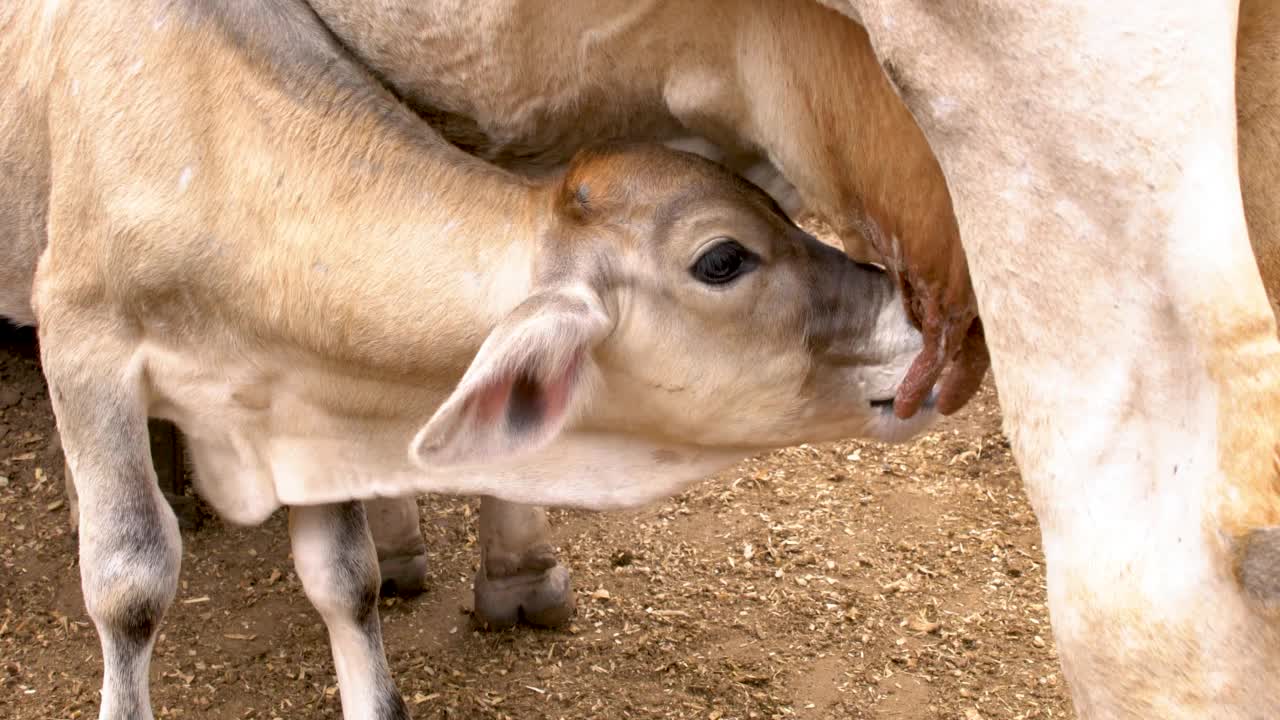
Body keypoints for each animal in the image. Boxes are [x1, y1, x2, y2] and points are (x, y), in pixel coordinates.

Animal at [2, 0, 942, 712]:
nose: (915, 322)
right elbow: (129, 581)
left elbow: (345, 577)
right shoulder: (82, 338)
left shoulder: (301, 403)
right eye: (722, 258)